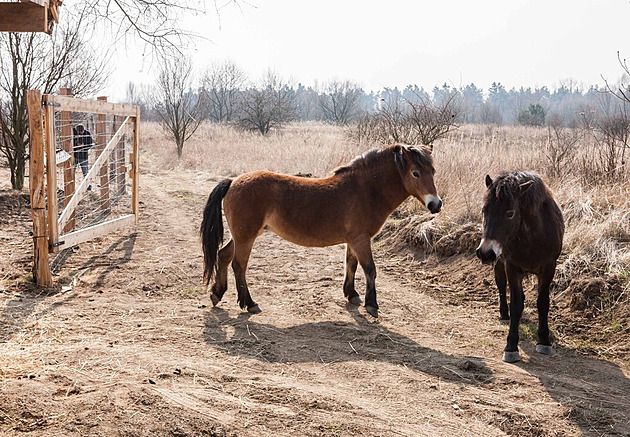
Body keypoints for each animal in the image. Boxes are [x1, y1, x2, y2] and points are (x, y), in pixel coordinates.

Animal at [202, 143, 444, 316]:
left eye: (433, 171)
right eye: (415, 173)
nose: (436, 204)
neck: (365, 190)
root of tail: (233, 182)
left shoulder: (353, 240)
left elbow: (351, 264)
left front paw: (352, 294)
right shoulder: (361, 239)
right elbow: (370, 269)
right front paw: (372, 305)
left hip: (242, 236)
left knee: (223, 256)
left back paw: (217, 294)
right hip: (246, 237)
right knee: (239, 266)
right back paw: (249, 303)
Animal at [476, 172, 564, 362]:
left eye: (510, 213)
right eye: (484, 210)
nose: (485, 252)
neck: (533, 238)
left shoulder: (549, 268)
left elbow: (543, 303)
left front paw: (544, 341)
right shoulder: (512, 267)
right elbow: (516, 304)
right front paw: (511, 347)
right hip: (500, 263)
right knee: (501, 285)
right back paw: (504, 314)